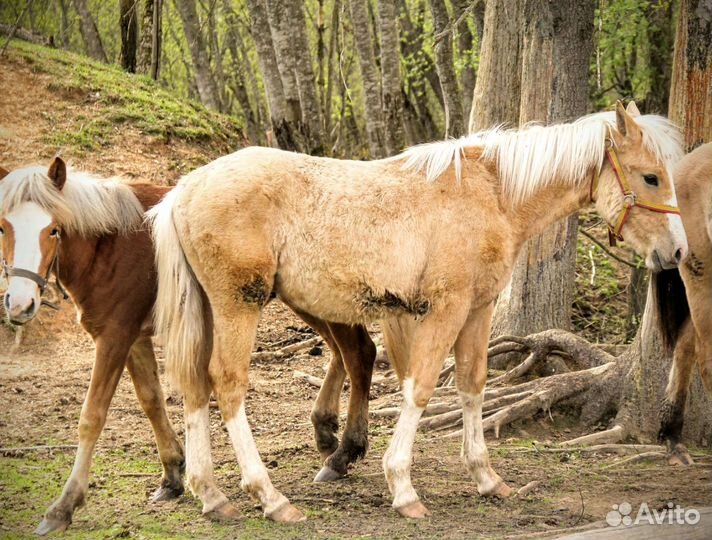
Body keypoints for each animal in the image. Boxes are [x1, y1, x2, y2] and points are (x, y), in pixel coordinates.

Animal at [0, 158, 377, 532]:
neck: (110, 244)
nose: (19, 305)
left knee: (358, 354)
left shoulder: (115, 337)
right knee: (347, 353)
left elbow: (92, 416)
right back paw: (327, 434)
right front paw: (172, 474)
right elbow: (151, 401)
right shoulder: (135, 339)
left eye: (53, 230)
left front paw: (63, 506)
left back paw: (343, 451)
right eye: (3, 227)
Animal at [149, 101, 686, 521]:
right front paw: (403, 487)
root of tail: (185, 188)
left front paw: (486, 477)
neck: (491, 193)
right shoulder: (444, 310)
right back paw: (271, 497)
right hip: (240, 305)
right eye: (651, 177)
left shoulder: (478, 310)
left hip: (212, 309)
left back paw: (211, 494)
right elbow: (422, 386)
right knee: (228, 384)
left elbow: (471, 384)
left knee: (196, 385)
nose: (677, 252)